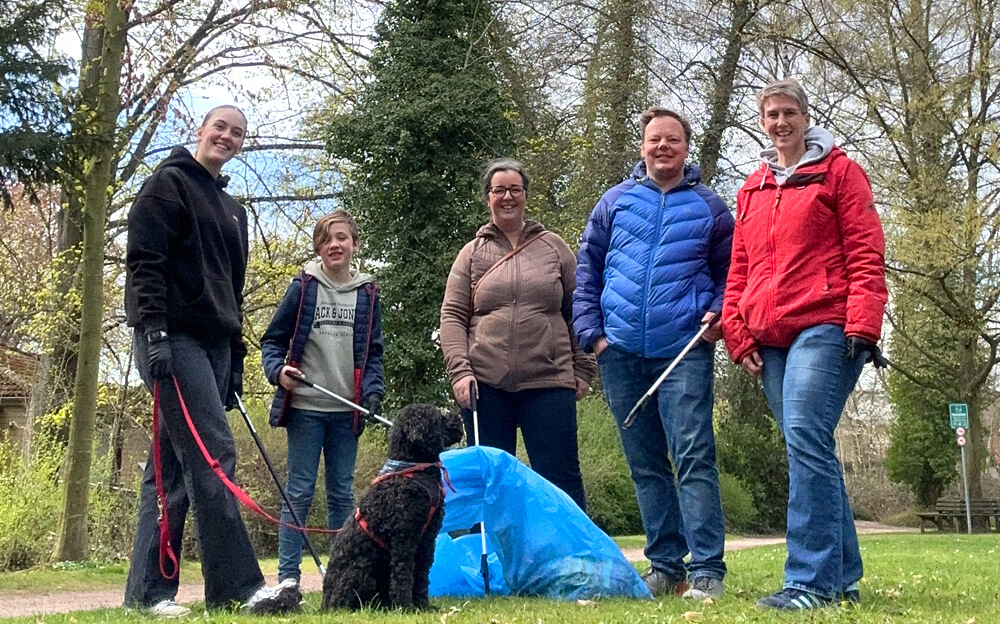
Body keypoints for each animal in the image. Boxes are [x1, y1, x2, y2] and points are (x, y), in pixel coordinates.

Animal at [321, 404, 464, 611]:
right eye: (438, 418)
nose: (458, 418)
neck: (413, 468)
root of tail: (323, 603)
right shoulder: (404, 539)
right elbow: (403, 574)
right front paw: (406, 607)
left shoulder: (427, 539)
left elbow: (421, 576)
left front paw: (424, 605)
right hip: (362, 570)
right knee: (344, 603)